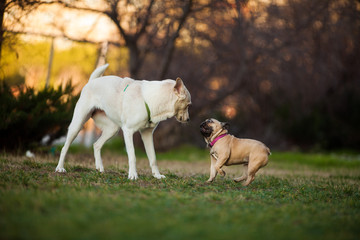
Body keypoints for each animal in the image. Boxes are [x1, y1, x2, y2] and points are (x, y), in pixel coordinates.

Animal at [54, 64, 191, 180]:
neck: (149, 99)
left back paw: (100, 168)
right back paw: (60, 168)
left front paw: (157, 176)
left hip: (112, 130)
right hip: (77, 125)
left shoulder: (147, 134)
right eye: (188, 105)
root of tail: (92, 81)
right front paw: (133, 175)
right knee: (65, 148)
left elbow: (153, 158)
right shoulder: (128, 132)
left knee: (96, 145)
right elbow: (132, 156)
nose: (188, 119)